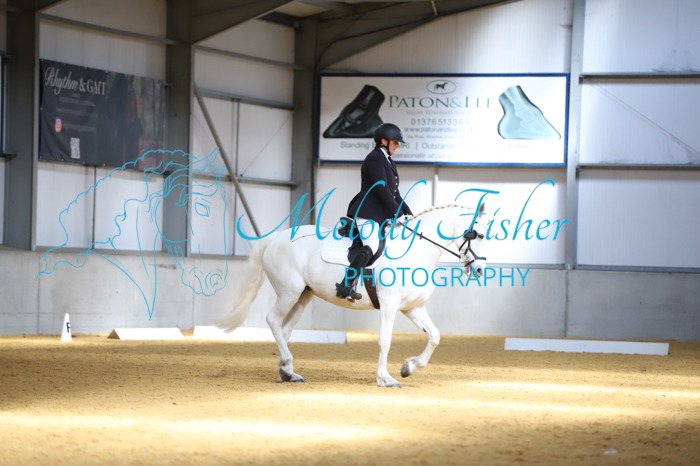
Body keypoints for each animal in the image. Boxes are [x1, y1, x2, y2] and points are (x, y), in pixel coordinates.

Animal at [218, 202, 489, 387]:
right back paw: (287, 367)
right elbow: (385, 340)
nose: (479, 269)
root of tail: (277, 237)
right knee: (273, 321)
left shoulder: (413, 308)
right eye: (479, 235)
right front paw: (385, 378)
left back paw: (288, 371)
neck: (415, 251)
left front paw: (409, 367)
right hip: (289, 292)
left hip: (303, 296)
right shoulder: (390, 304)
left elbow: (435, 336)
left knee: (284, 330)